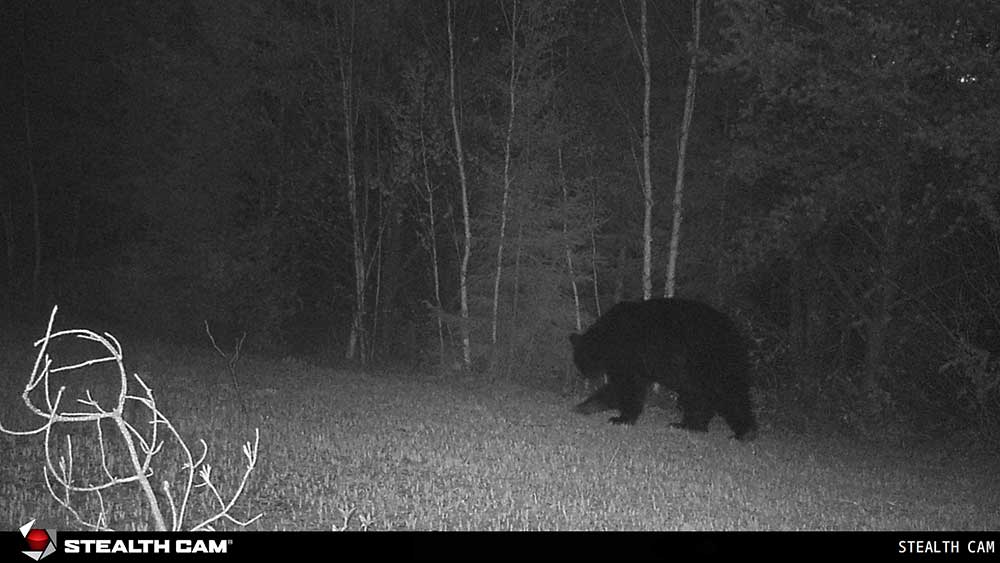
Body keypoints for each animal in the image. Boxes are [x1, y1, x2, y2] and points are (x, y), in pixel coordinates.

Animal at [569, 298, 757, 441]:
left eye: (578, 360)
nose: (583, 374)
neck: (609, 337)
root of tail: (736, 335)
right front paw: (584, 407)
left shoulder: (629, 355)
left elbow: (625, 387)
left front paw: (619, 418)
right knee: (701, 396)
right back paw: (689, 425)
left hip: (708, 362)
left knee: (727, 394)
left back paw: (742, 433)